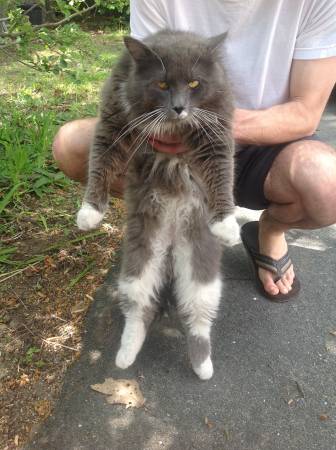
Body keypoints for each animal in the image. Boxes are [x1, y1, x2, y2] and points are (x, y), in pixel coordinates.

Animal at [77, 29, 239, 380]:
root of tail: (172, 243)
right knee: (139, 309)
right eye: (162, 84)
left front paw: (227, 223)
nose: (178, 108)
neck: (175, 126)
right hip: (138, 261)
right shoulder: (114, 118)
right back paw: (125, 356)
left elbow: (221, 173)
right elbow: (101, 160)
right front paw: (89, 212)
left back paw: (203, 367)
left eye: (194, 83)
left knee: (198, 317)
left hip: (201, 270)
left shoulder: (216, 130)